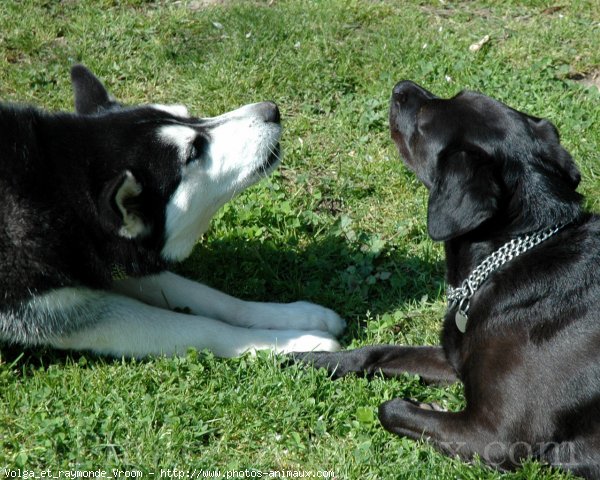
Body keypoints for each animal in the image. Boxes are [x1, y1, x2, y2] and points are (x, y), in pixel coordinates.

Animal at [0, 64, 344, 356]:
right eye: (194, 150)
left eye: (187, 113)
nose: (271, 110)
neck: (52, 188)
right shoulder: (50, 314)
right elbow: (203, 327)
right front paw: (296, 342)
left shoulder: (106, 260)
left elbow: (209, 296)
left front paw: (295, 314)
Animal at [296, 80, 600, 478]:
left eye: (425, 120)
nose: (401, 85)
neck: (516, 250)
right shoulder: (454, 358)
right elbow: (373, 351)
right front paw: (303, 359)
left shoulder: (494, 436)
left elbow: (389, 408)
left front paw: (425, 406)